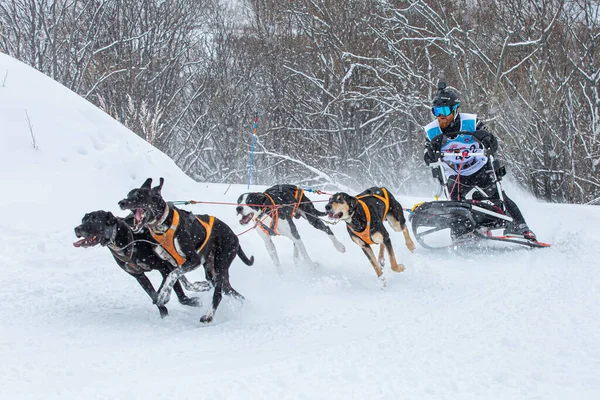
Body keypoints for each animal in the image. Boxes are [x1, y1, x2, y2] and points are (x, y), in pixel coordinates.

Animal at [72, 209, 204, 318]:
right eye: (83, 220)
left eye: (94, 220)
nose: (77, 228)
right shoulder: (139, 276)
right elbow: (153, 294)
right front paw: (163, 313)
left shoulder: (164, 267)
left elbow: (174, 289)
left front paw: (189, 301)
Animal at [118, 177, 254, 322]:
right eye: (128, 195)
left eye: (140, 196)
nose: (121, 202)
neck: (163, 226)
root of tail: (234, 236)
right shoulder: (170, 263)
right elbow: (178, 278)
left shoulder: (193, 260)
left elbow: (172, 276)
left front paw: (164, 294)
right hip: (211, 270)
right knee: (229, 290)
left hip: (220, 265)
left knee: (218, 294)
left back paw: (209, 315)